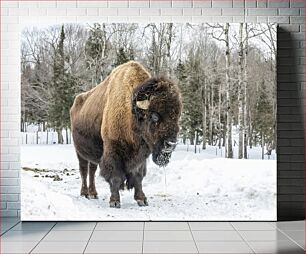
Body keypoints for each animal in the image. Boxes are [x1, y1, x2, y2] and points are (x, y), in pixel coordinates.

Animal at [70, 60, 182, 207]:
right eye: (154, 116)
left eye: (177, 116)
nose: (171, 144)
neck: (132, 113)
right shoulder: (113, 150)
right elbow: (115, 177)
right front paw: (114, 201)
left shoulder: (140, 157)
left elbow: (138, 177)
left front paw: (142, 199)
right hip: (79, 152)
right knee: (83, 170)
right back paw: (84, 193)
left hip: (93, 155)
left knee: (92, 171)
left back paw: (93, 194)